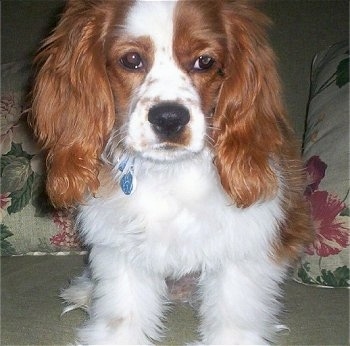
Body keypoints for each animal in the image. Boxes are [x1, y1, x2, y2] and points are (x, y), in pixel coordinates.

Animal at [31, 0, 312, 344]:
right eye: (131, 60)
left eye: (205, 62)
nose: (169, 118)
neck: (170, 173)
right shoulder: (123, 249)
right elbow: (122, 316)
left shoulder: (242, 247)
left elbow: (232, 316)